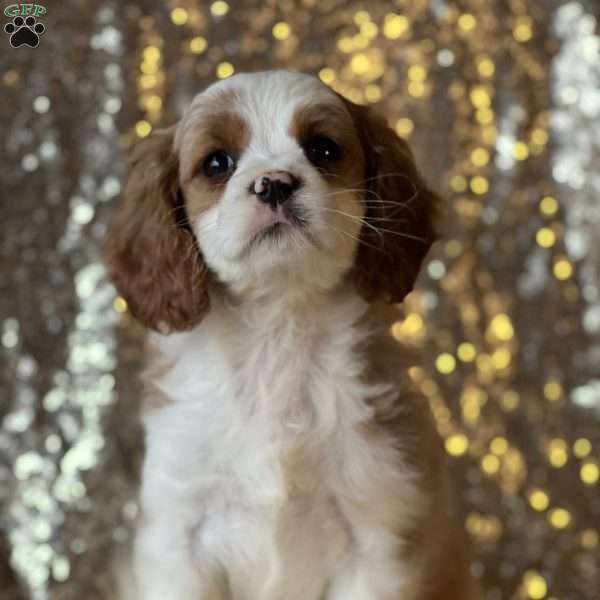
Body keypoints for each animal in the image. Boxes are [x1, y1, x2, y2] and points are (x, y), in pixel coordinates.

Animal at [105, 70, 480, 600]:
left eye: (323, 149)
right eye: (217, 163)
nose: (274, 183)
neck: (277, 330)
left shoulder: (379, 531)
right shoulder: (179, 536)